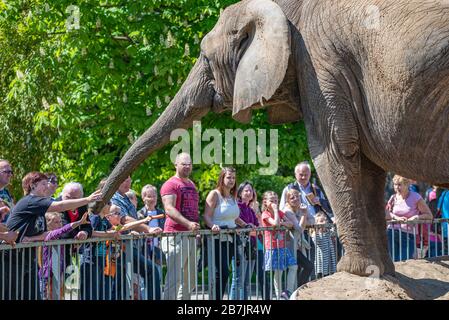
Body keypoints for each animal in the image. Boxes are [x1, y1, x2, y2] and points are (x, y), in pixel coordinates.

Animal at [93, 0, 446, 278]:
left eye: (204, 58)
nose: (95, 205)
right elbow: (366, 166)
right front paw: (381, 273)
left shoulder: (320, 66)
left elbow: (336, 152)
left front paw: (355, 271)